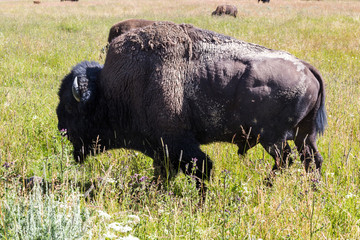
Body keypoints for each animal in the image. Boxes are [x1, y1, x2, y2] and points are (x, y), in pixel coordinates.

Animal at [57, 21, 326, 189]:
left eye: (70, 107)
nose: (61, 129)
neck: (113, 88)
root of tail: (306, 67)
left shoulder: (178, 142)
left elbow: (200, 170)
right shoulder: (164, 148)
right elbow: (165, 172)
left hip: (273, 139)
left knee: (286, 161)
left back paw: (267, 185)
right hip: (304, 135)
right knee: (312, 160)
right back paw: (313, 191)